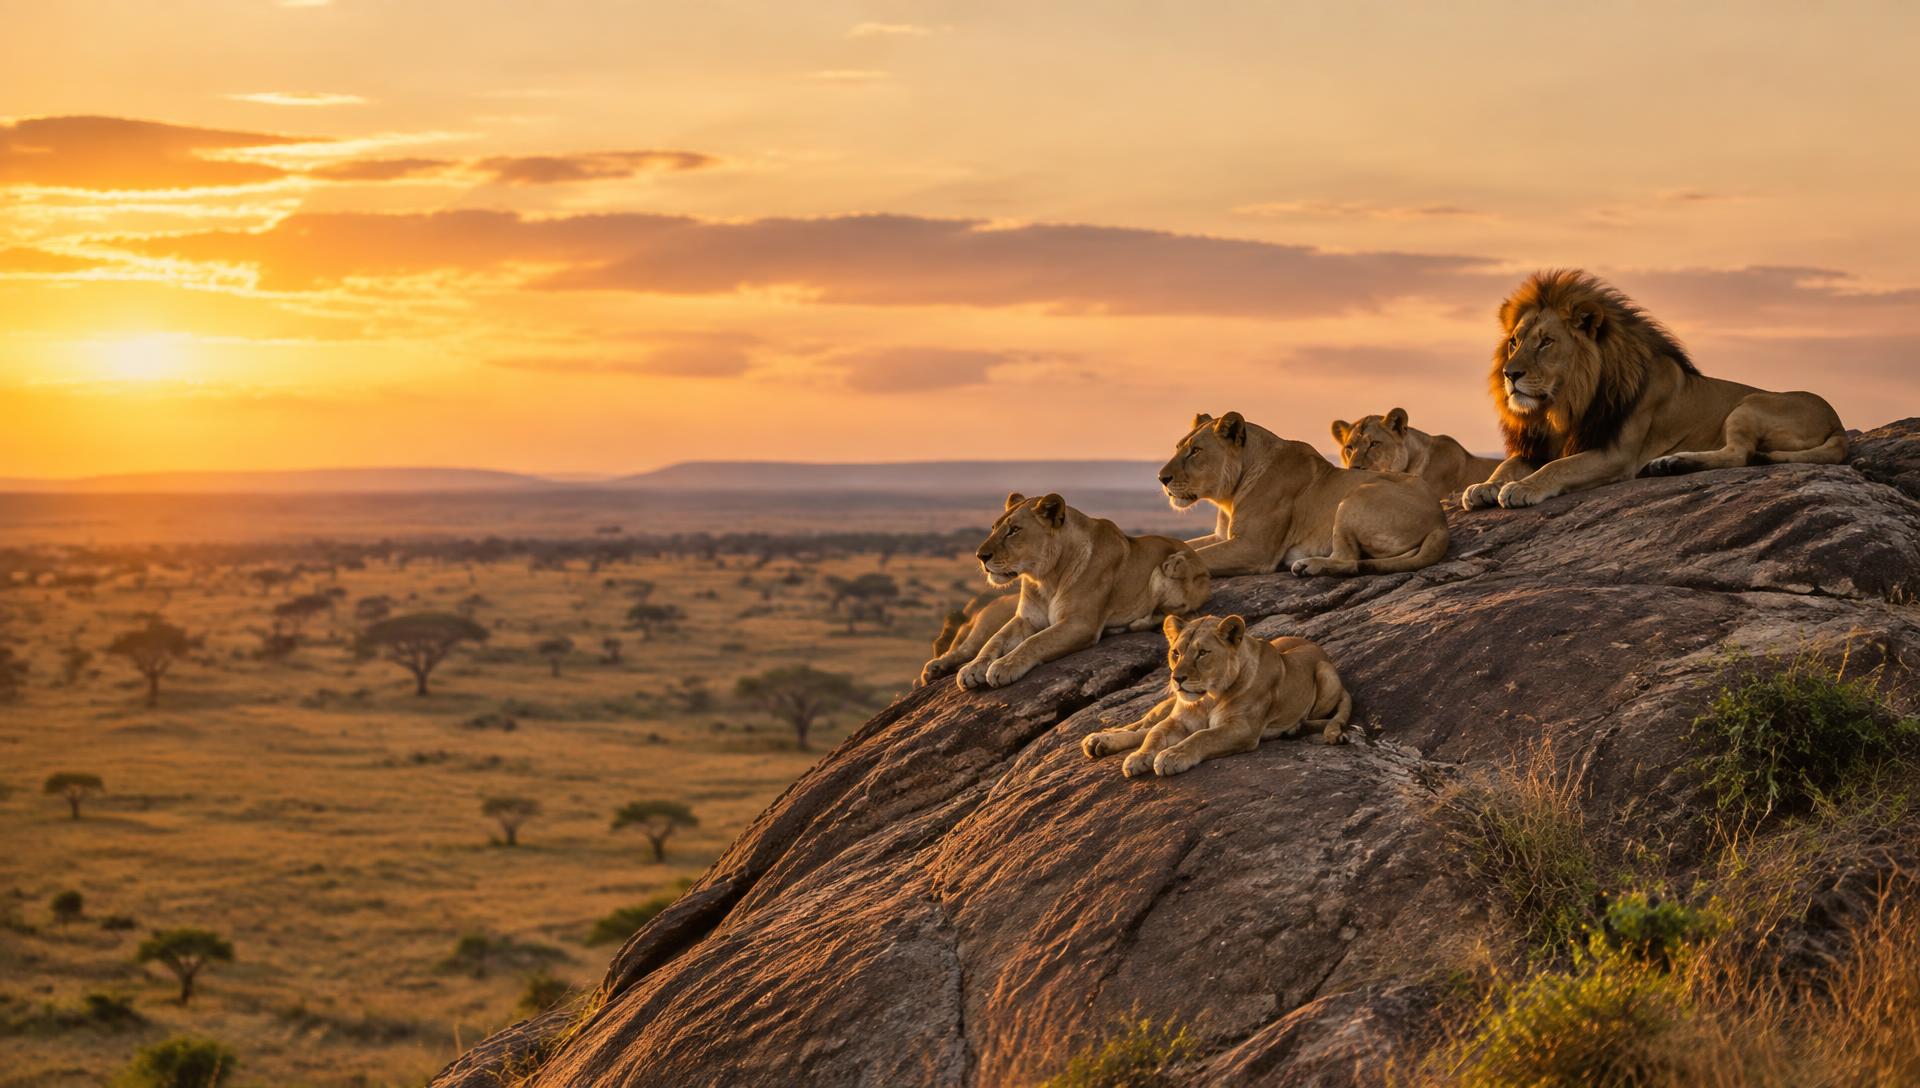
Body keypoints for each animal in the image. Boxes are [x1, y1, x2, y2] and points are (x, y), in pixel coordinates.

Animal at [947, 492, 1212, 691]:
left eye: (1014, 530)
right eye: (993, 527)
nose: (980, 556)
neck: (1045, 578)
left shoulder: (1080, 623)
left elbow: (1035, 641)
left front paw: (1004, 666)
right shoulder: (1026, 618)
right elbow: (994, 639)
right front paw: (972, 668)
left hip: (1169, 566)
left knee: (1179, 614)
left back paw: (1131, 625)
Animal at [1080, 613, 1352, 777]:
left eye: (1202, 653)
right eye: (1176, 653)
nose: (1177, 679)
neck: (1208, 698)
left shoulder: (1243, 728)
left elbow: (1203, 736)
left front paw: (1172, 755)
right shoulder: (1178, 720)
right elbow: (1154, 733)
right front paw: (1139, 757)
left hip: (1326, 675)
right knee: (1143, 726)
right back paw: (1099, 740)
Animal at [1160, 412, 1448, 577]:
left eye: (1195, 451)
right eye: (1178, 447)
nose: (1162, 478)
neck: (1228, 498)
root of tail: (1441, 521)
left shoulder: (1255, 548)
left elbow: (1197, 556)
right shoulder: (1223, 536)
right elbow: (1185, 545)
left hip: (1355, 497)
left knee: (1349, 560)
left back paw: (1307, 565)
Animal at [1463, 269, 1847, 510]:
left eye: (1546, 342)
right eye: (1514, 342)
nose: (1509, 374)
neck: (1566, 404)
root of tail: (1838, 424)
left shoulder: (1616, 454)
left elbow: (1558, 468)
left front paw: (1522, 488)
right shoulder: (1545, 444)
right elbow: (1509, 463)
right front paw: (1484, 487)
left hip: (1748, 405)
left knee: (1741, 454)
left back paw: (1673, 462)